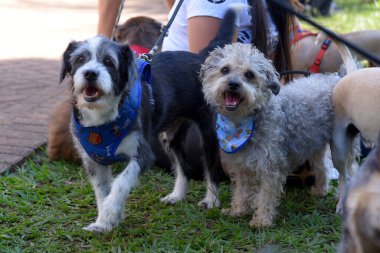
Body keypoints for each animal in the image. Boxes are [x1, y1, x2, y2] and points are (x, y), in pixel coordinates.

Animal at [59, 9, 236, 231]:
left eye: (108, 61)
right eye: (80, 59)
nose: (90, 73)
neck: (102, 120)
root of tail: (201, 57)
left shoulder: (141, 154)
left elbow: (120, 183)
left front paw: (110, 211)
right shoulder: (94, 160)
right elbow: (102, 191)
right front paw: (103, 221)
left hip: (208, 132)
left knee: (211, 165)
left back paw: (211, 199)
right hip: (170, 136)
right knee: (182, 166)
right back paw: (177, 195)